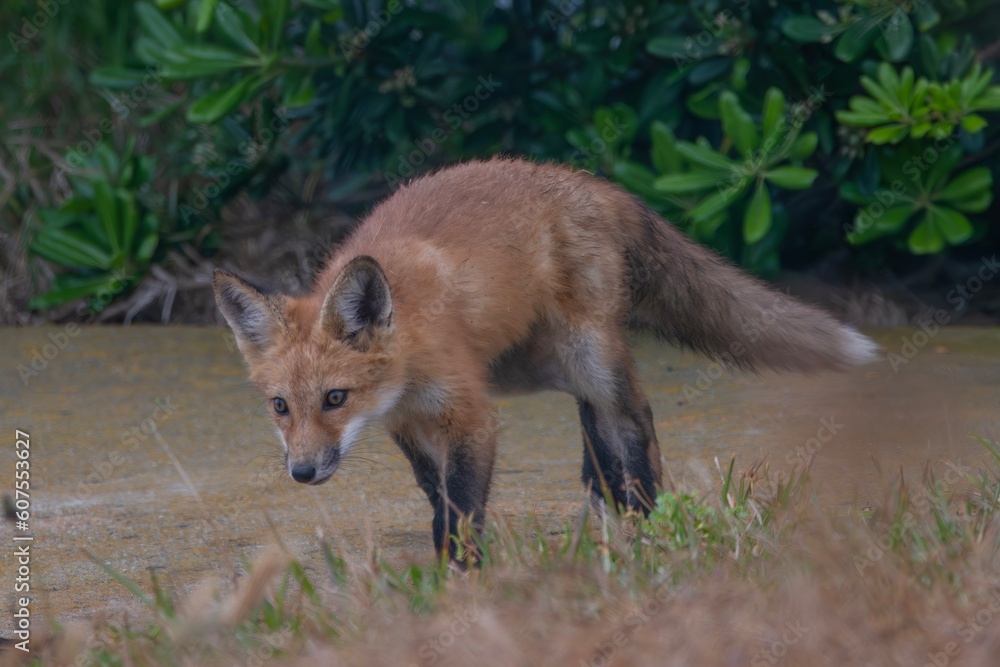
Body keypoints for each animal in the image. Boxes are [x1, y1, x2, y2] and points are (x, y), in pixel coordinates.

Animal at [214, 157, 877, 560]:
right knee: (594, 418)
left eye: (335, 398)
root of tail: (586, 180)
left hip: (584, 352)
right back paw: (607, 495)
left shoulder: (472, 413)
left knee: (634, 417)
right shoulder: (408, 424)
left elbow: (461, 503)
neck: (407, 354)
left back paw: (645, 516)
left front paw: (460, 575)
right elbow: (437, 495)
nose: (302, 472)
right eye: (279, 406)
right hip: (532, 366)